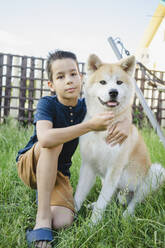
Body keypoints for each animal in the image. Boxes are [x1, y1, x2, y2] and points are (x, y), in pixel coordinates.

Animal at [74, 54, 165, 225]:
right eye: (103, 82)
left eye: (119, 82)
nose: (113, 92)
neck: (104, 128)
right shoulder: (88, 165)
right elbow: (79, 195)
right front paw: (70, 216)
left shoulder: (114, 169)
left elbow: (102, 201)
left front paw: (92, 225)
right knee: (113, 200)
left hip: (155, 173)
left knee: (135, 201)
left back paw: (127, 215)